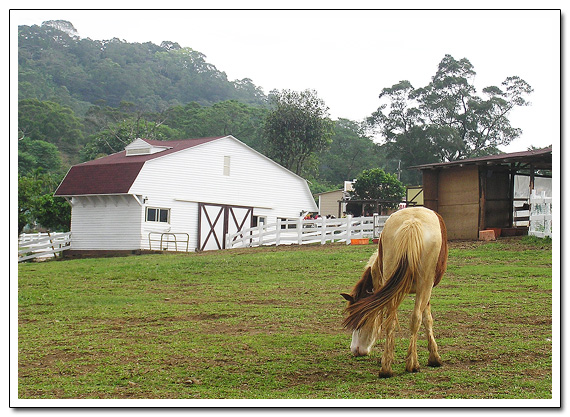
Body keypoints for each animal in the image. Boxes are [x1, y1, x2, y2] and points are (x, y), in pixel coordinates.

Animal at [341, 207, 448, 378]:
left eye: (362, 321)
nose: (355, 350)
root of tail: (412, 223)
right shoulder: (427, 290)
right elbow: (427, 319)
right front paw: (434, 357)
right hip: (424, 285)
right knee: (415, 319)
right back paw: (412, 364)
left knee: (390, 320)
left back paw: (386, 368)